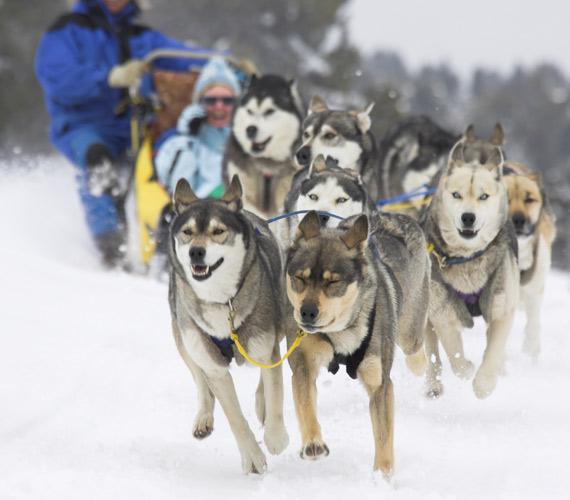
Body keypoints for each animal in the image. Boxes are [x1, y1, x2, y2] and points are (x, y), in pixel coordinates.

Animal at [166, 175, 286, 472]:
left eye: (218, 231)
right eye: (187, 232)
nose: (196, 252)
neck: (223, 301)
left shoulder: (265, 345)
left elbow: (275, 392)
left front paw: (276, 437)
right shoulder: (214, 366)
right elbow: (234, 417)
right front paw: (252, 457)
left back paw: (262, 407)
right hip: (183, 339)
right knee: (199, 379)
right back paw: (204, 417)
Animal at [284, 212, 400, 476]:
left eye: (332, 282)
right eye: (300, 278)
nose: (307, 312)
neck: (341, 333)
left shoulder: (380, 383)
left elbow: (384, 435)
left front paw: (383, 476)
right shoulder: (303, 365)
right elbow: (306, 404)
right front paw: (313, 442)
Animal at [420, 132, 516, 398]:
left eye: (484, 196)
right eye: (456, 195)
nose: (468, 217)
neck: (468, 257)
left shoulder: (502, 308)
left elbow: (494, 350)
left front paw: (484, 383)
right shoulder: (442, 312)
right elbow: (454, 355)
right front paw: (468, 369)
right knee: (432, 352)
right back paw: (433, 385)